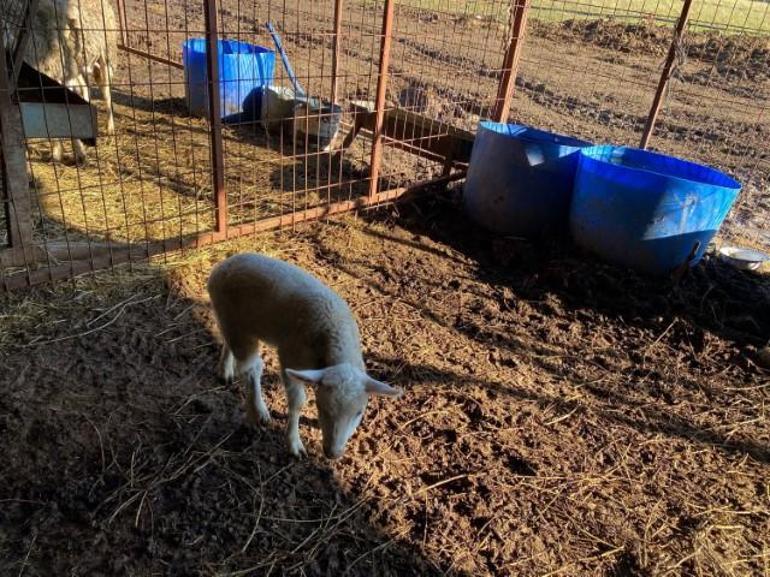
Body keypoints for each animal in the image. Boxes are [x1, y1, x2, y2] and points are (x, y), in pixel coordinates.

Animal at [2, 0, 118, 164]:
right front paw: (59, 153)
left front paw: (76, 153)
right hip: (76, 67)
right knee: (84, 88)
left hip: (105, 57)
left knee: (106, 93)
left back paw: (110, 129)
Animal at [208, 252, 402, 460]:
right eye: (322, 408)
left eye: (359, 413)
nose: (333, 454)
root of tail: (223, 265)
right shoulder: (290, 356)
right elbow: (297, 403)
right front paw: (294, 443)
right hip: (234, 320)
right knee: (251, 368)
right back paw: (256, 412)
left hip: (237, 322)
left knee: (231, 343)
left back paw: (225, 370)